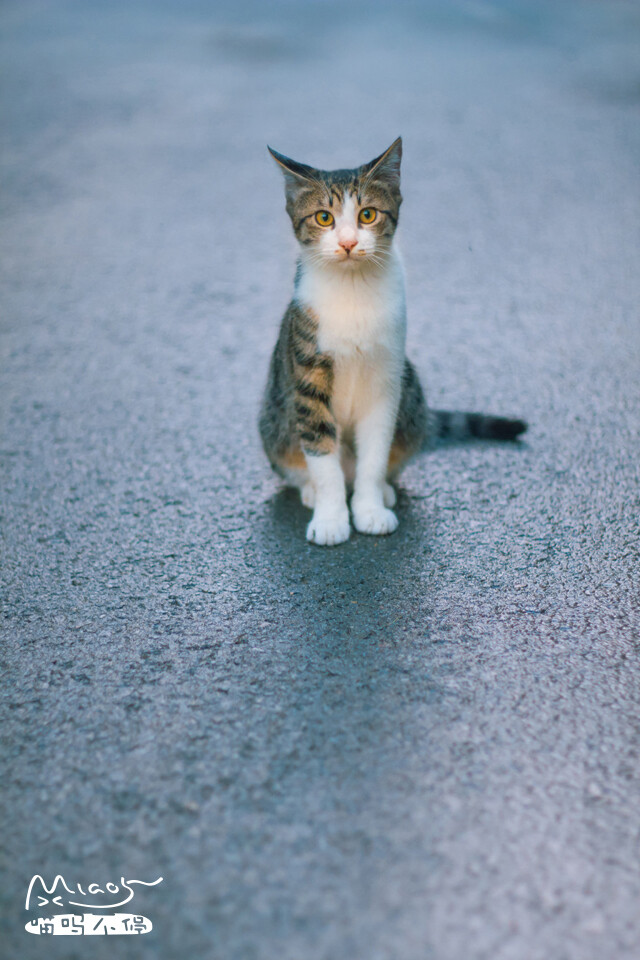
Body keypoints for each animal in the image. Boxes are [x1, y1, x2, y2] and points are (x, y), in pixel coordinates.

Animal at [258, 136, 528, 544]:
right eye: (324, 218)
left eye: (368, 215)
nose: (349, 243)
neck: (353, 290)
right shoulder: (307, 376)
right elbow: (322, 454)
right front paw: (331, 518)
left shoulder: (386, 380)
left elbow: (375, 453)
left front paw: (369, 510)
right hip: (274, 420)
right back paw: (311, 491)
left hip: (410, 388)